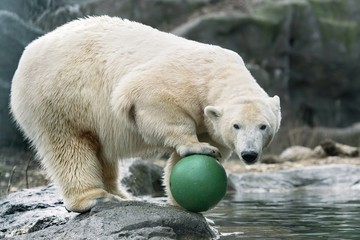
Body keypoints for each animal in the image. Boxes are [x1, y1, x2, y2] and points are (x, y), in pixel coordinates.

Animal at [9, 15, 282, 213]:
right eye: (236, 125)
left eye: (263, 126)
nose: (249, 154)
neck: (218, 73)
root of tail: (27, 53)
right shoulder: (180, 79)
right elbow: (150, 97)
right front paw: (198, 147)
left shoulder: (210, 120)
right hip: (60, 95)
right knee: (69, 145)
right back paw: (95, 198)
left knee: (101, 151)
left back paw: (119, 193)